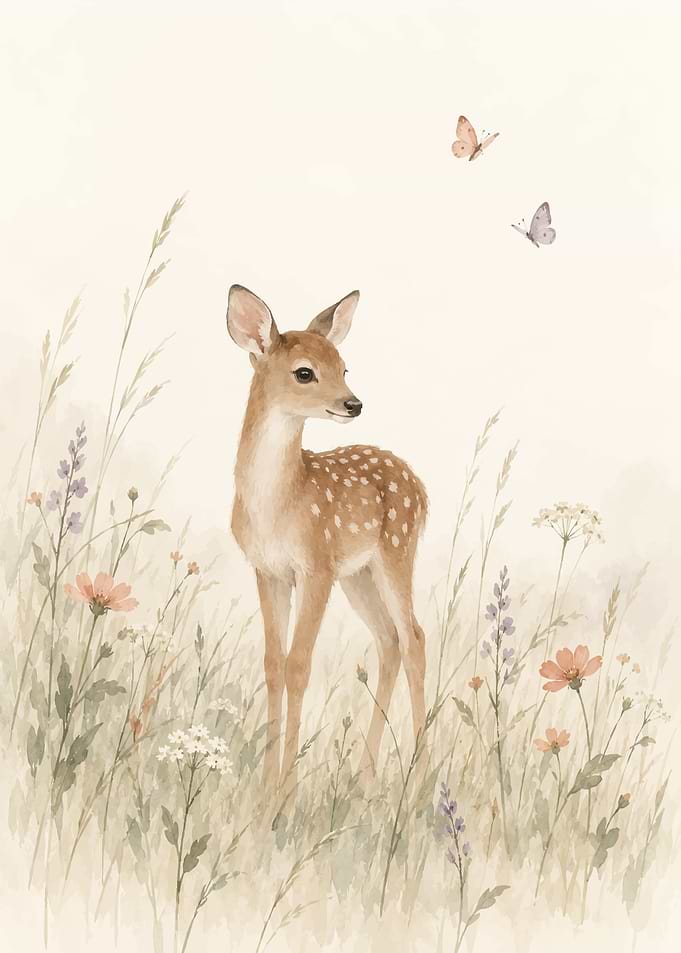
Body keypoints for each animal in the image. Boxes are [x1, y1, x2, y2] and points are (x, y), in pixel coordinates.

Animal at [226, 285, 428, 791]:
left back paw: (420, 774)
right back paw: (366, 773)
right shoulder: (269, 570)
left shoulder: (315, 565)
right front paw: (266, 783)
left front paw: (285, 791)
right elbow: (274, 665)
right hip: (357, 574)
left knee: (414, 637)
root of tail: (419, 485)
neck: (278, 504)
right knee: (389, 640)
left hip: (397, 551)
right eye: (305, 372)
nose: (354, 403)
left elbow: (299, 665)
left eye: (345, 366)